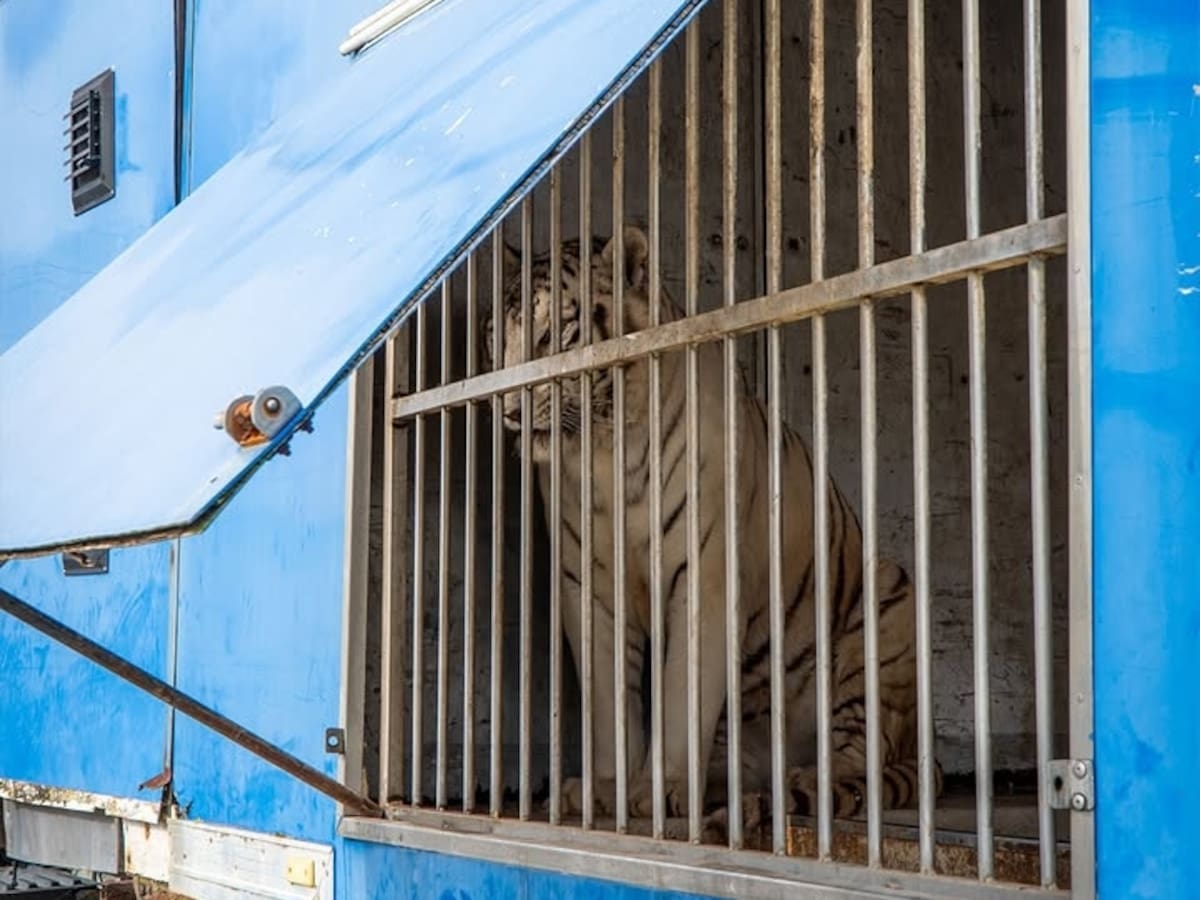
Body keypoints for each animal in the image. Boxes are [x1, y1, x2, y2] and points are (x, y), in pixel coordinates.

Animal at [480, 224, 940, 835]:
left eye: (551, 332)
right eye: (496, 336)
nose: (508, 409)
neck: (603, 448)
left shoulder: (704, 573)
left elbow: (681, 691)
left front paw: (663, 788)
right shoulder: (589, 586)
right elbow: (607, 697)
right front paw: (605, 787)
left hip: (887, 598)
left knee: (862, 755)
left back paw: (807, 778)